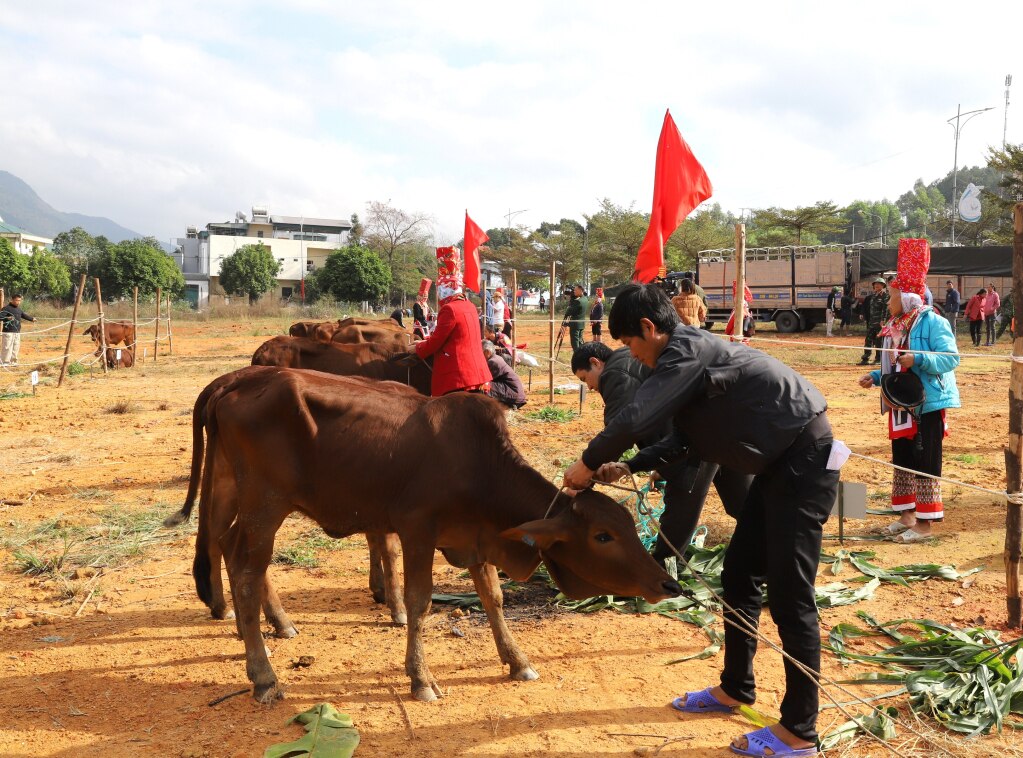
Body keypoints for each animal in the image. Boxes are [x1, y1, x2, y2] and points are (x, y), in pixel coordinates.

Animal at [190, 364, 679, 699]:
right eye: (603, 536)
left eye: (628, 524)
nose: (669, 582)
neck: (478, 465)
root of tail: (234, 383)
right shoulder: (418, 532)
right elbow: (419, 602)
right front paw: (420, 677)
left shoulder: (477, 539)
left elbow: (493, 598)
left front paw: (517, 661)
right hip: (265, 504)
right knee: (246, 570)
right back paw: (263, 675)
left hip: (233, 489)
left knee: (225, 544)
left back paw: (265, 629)